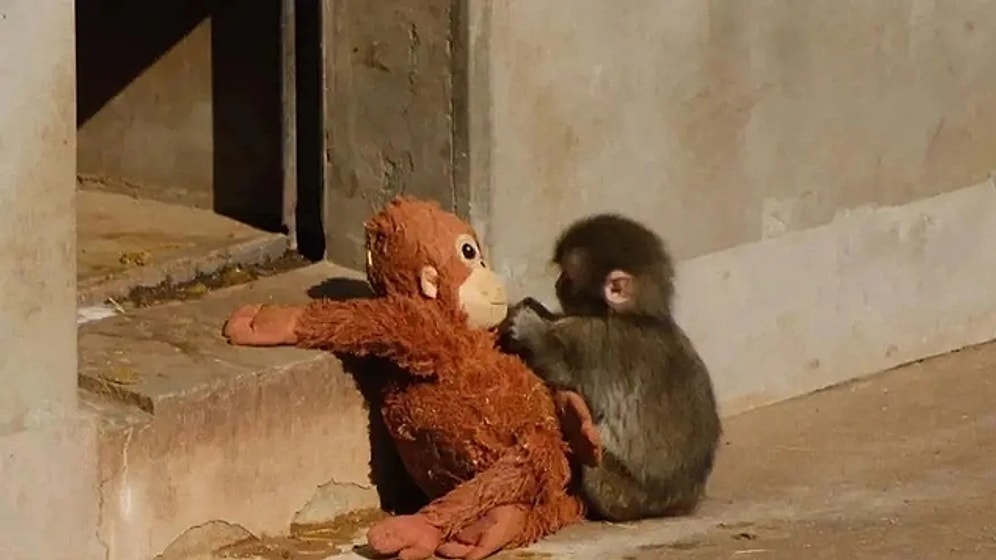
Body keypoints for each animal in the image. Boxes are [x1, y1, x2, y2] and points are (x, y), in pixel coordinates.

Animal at [498, 214, 722, 522]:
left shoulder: (594, 341)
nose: (558, 282)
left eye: (568, 275)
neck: (636, 316)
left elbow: (560, 368)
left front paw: (530, 327)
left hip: (620, 493)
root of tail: (679, 504)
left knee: (595, 466)